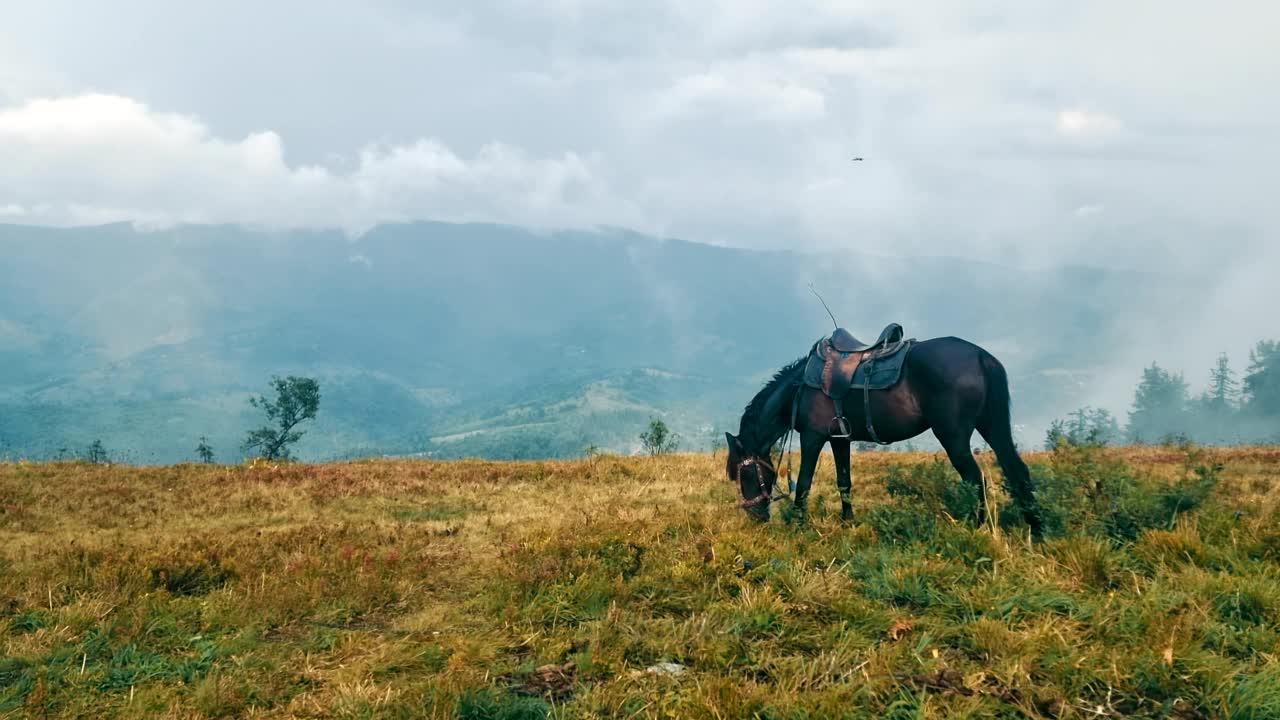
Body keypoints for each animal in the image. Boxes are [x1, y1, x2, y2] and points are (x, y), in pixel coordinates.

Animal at [727, 330, 1044, 538]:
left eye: (744, 473)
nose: (754, 516)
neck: (799, 389)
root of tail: (980, 356)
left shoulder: (813, 437)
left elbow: (804, 483)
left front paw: (798, 523)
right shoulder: (840, 439)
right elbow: (844, 482)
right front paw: (848, 521)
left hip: (953, 437)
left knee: (975, 479)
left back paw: (978, 527)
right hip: (993, 427)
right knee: (1017, 470)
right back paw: (1037, 527)